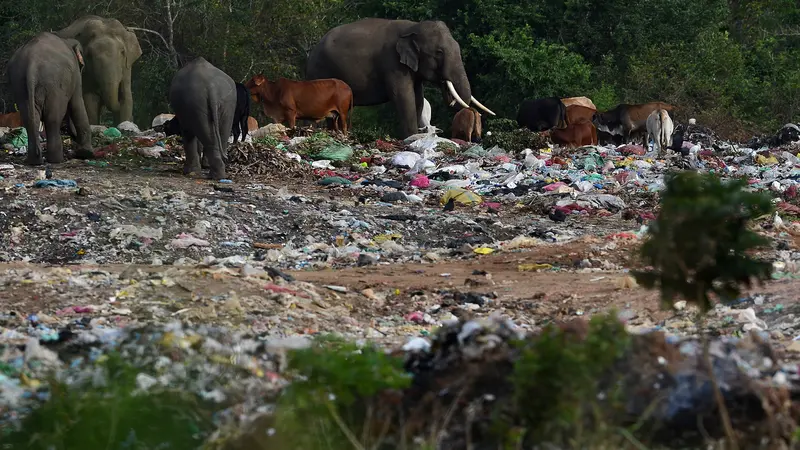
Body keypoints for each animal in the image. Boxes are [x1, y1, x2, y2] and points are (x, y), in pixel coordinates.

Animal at [6, 32, 93, 165]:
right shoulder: (76, 75)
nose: (73, 137)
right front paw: (86, 153)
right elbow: (77, 103)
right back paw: (57, 160)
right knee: (53, 118)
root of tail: (32, 62)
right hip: (55, 84)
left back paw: (34, 161)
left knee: (29, 118)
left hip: (19, 83)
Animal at [304, 17, 494, 138]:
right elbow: (404, 96)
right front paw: (412, 137)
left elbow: (418, 97)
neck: (413, 27)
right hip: (320, 71)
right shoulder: (392, 63)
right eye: (439, 52)